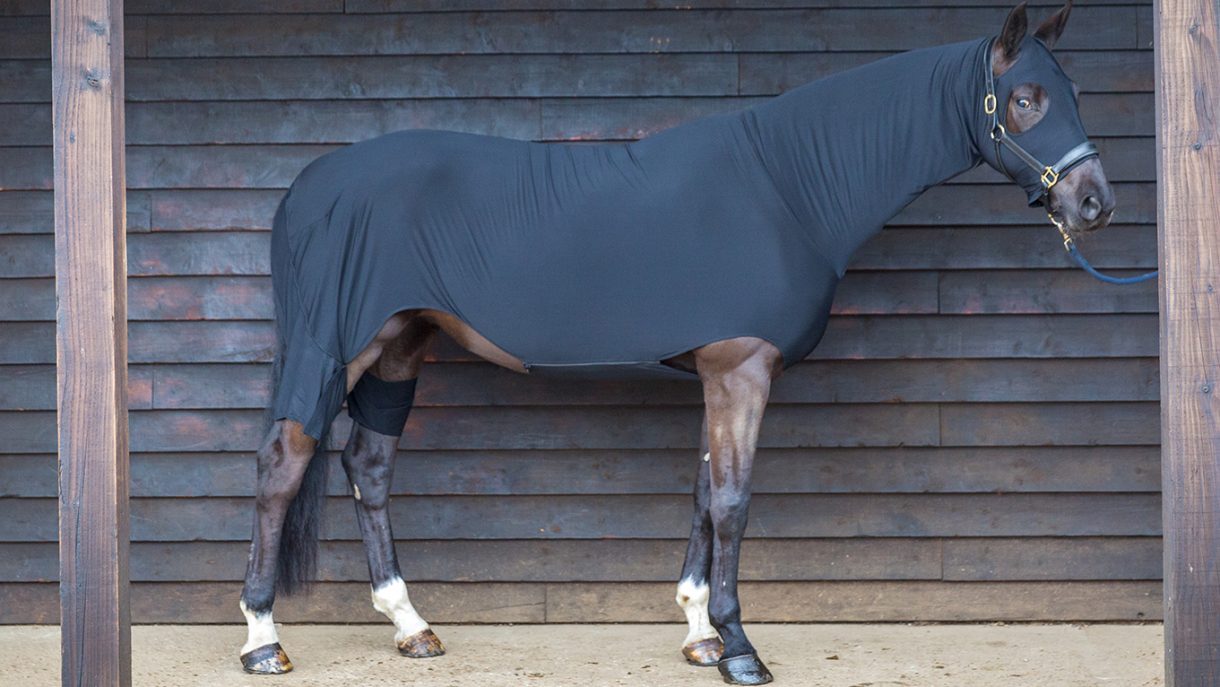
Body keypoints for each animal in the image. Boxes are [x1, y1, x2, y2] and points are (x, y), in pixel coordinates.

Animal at [236, 3, 1115, 684]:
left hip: (399, 346)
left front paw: (700, 634)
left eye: (1074, 91)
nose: (1094, 203)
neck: (787, 187)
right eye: (1026, 97)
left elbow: (702, 493)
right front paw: (742, 648)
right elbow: (732, 502)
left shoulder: (718, 374)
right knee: (284, 463)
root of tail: (310, 187)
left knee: (369, 465)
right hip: (336, 343)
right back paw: (263, 640)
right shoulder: (742, 369)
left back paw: (410, 624)